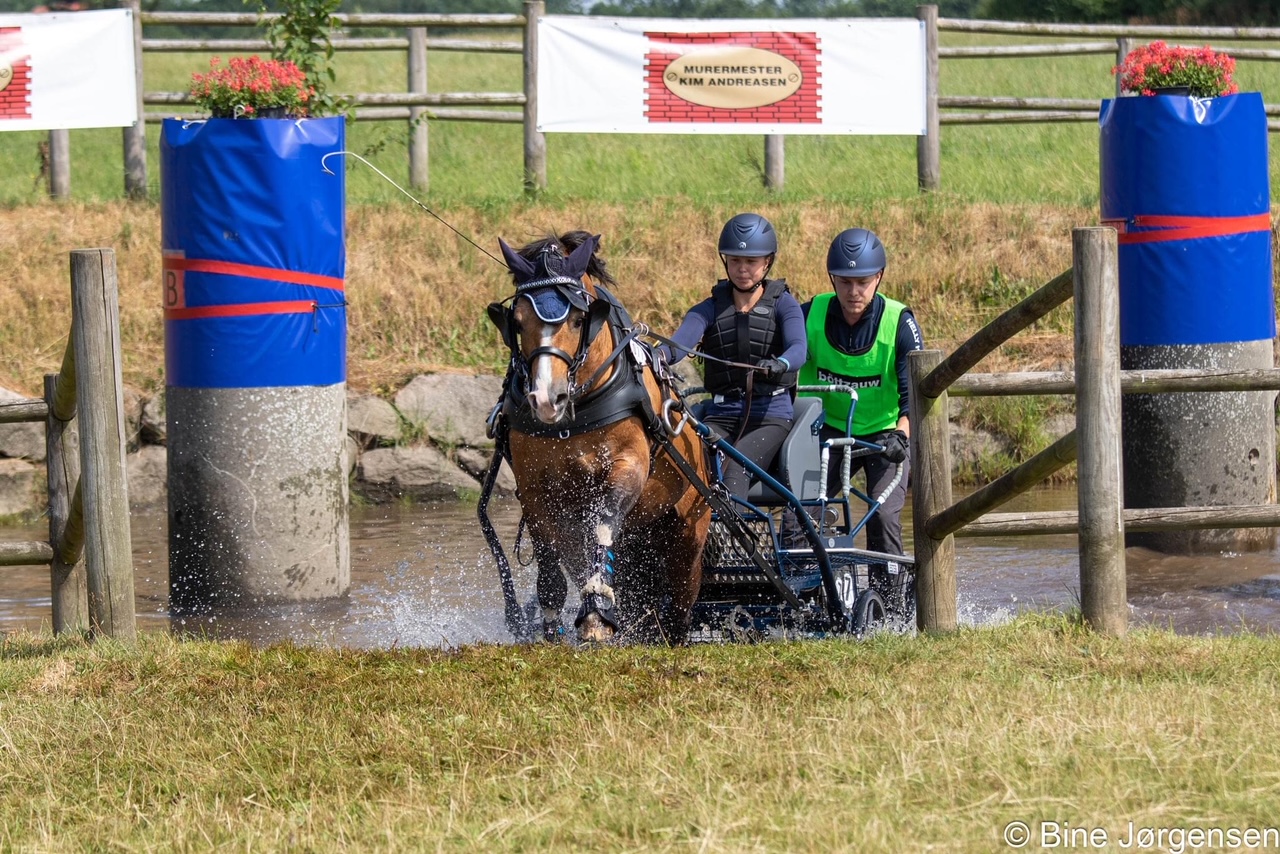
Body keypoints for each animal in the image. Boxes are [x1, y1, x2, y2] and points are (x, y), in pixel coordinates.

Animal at [486, 230, 711, 645]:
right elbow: (549, 563)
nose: (547, 398)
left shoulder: (629, 466)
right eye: (518, 322)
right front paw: (553, 627)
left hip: (689, 531)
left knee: (681, 599)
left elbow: (603, 521)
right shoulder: (534, 487)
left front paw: (596, 611)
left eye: (579, 320)